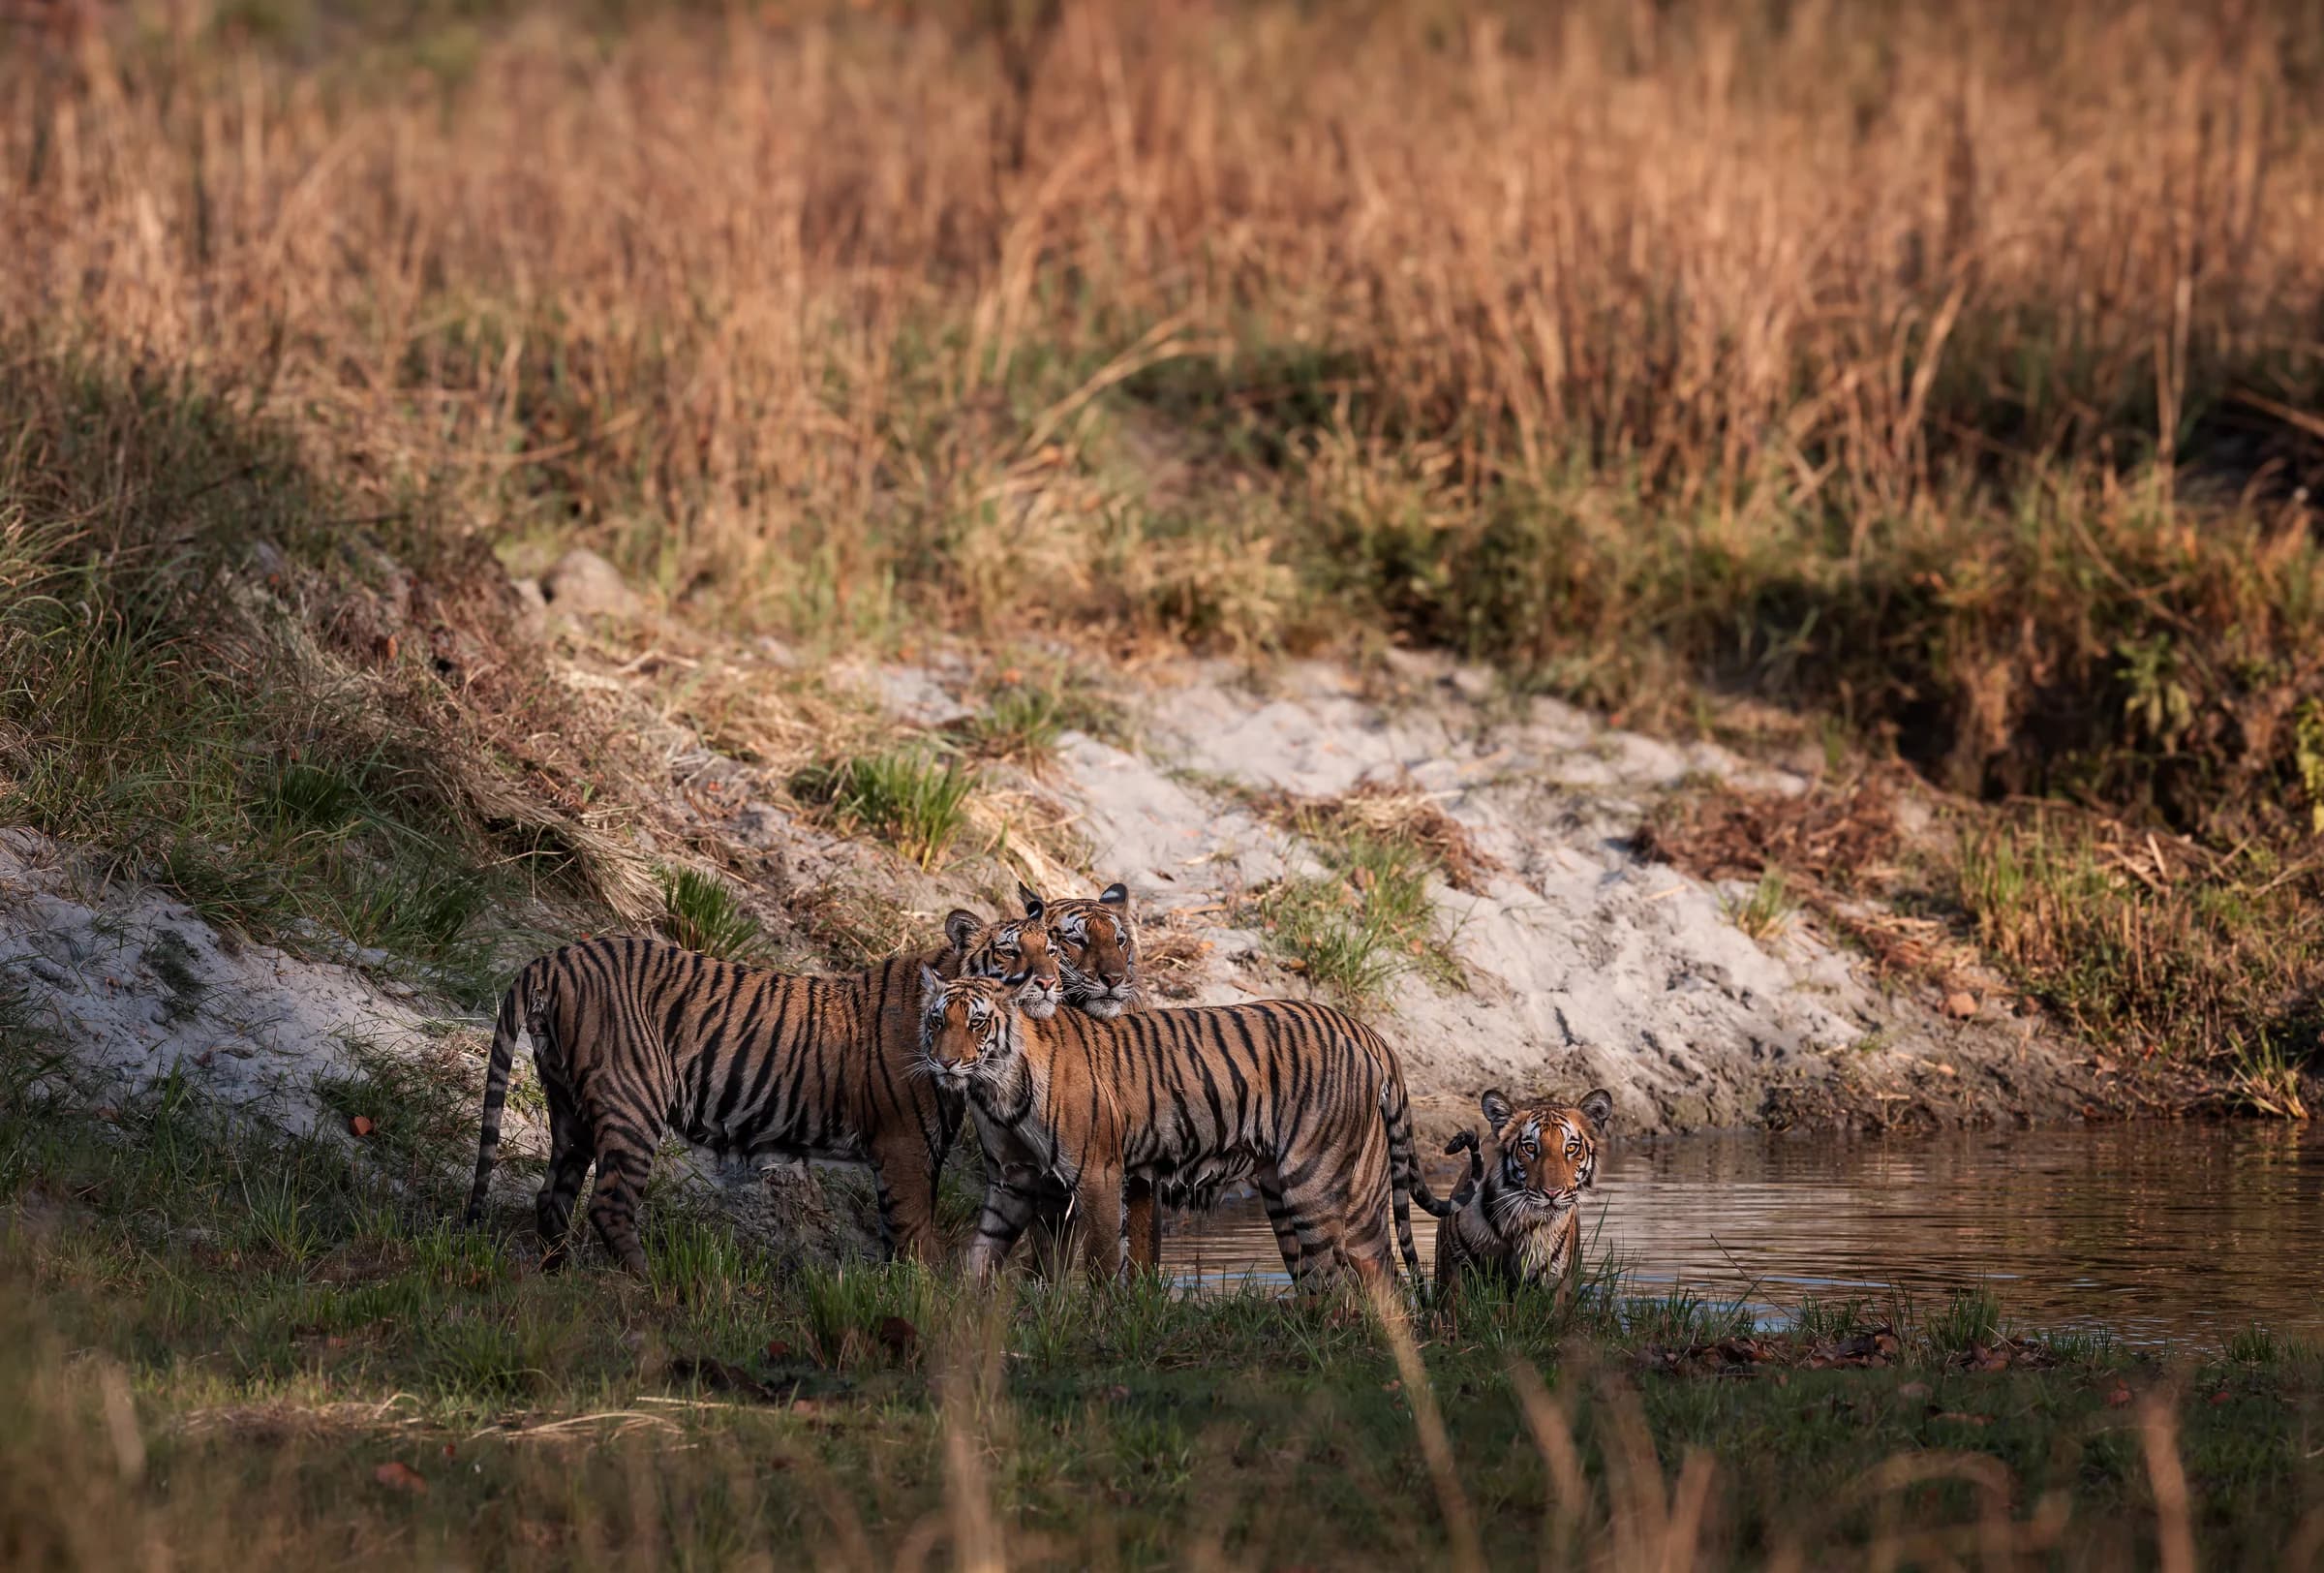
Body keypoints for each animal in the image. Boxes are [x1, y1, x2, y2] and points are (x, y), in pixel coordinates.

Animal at [461, 904, 1061, 1274]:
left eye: (1054, 949)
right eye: (1009, 952)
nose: (1051, 982)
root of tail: (556, 957)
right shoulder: (906, 1148)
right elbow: (915, 1237)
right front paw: (923, 1303)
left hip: (569, 1107)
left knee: (553, 1196)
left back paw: (556, 1274)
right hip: (633, 1099)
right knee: (608, 1203)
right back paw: (649, 1284)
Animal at [916, 971, 1464, 1288]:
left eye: (977, 1024)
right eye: (937, 1021)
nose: (944, 1063)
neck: (995, 1087)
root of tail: (1368, 1031)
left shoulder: (1097, 1174)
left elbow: (1099, 1264)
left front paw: (1098, 1323)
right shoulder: (1012, 1181)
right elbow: (983, 1254)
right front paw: (965, 1315)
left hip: (1312, 1180)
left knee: (1336, 1281)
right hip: (1344, 1193)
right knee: (1375, 1276)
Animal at [1430, 1086, 1613, 1294]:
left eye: (1571, 1147)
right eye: (1530, 1147)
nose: (1552, 1193)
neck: (1519, 1224)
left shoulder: (1556, 1282)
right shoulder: (1454, 1271)